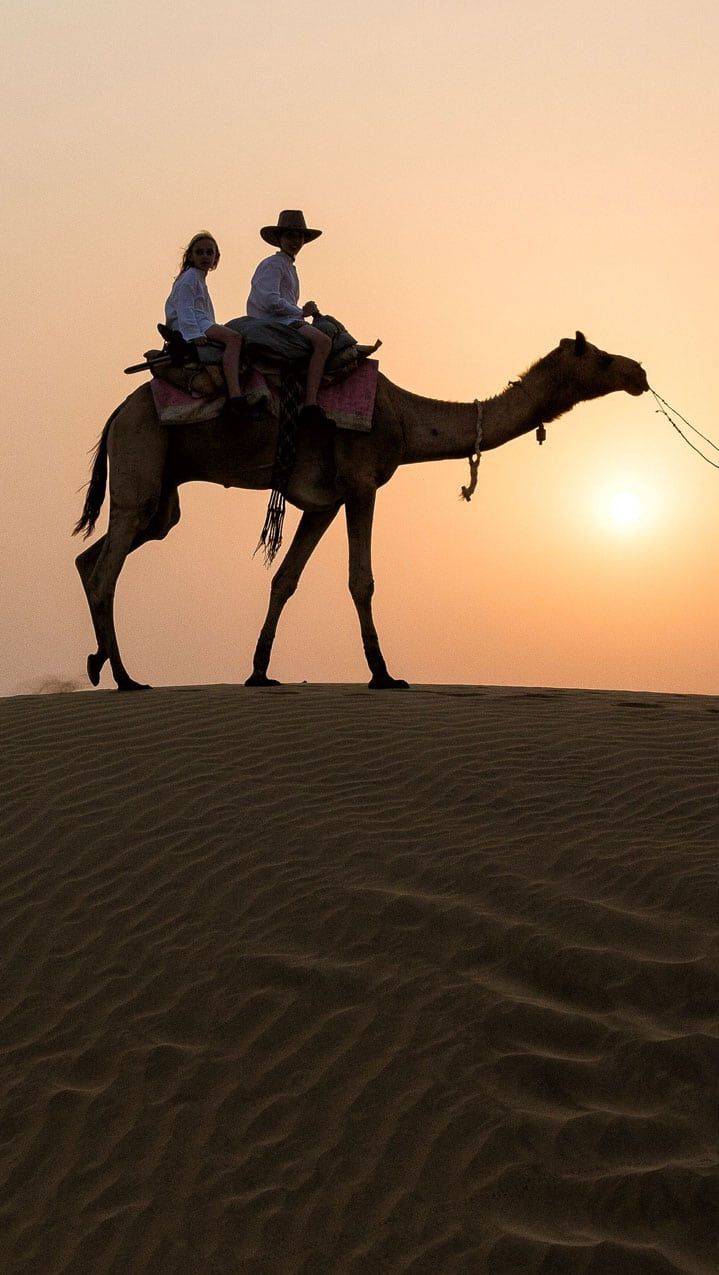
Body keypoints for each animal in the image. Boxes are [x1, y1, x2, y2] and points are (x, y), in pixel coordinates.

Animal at [74, 332, 648, 691]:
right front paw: (384, 675)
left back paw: (99, 663)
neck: (407, 417)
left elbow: (284, 579)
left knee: (97, 554)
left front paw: (259, 671)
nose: (639, 370)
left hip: (161, 493)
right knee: (106, 569)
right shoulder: (362, 482)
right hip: (142, 458)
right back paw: (126, 678)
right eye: (599, 357)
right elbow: (361, 580)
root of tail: (114, 414)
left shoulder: (324, 501)